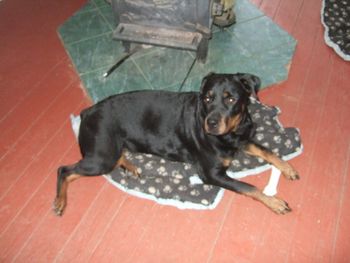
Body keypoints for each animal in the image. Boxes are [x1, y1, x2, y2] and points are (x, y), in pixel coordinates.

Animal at [53, 72, 300, 217]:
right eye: (207, 98)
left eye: (230, 98)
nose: (211, 123)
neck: (232, 132)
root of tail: (88, 111)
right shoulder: (211, 174)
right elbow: (248, 187)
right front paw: (274, 202)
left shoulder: (241, 139)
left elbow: (267, 150)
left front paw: (287, 168)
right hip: (101, 157)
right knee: (64, 170)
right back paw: (60, 202)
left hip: (111, 150)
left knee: (116, 156)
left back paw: (130, 167)